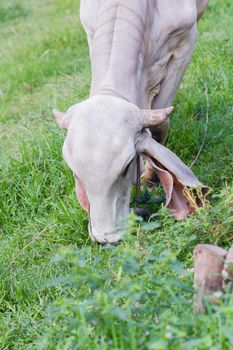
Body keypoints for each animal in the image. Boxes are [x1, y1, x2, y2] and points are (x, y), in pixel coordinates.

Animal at [53, 0, 208, 243]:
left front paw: (152, 175)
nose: (107, 237)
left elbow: (158, 126)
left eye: (127, 166)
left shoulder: (185, 41)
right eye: (75, 172)